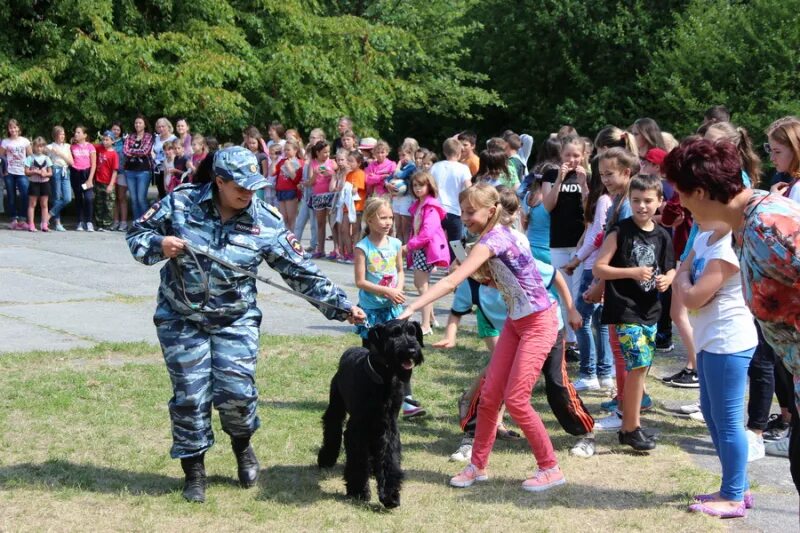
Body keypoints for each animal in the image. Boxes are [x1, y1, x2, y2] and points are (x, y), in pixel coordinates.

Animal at [316, 318, 424, 510]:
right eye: (394, 334)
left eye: (412, 332)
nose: (411, 350)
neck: (383, 377)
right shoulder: (357, 428)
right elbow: (358, 458)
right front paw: (359, 491)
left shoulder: (388, 426)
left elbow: (389, 457)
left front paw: (390, 495)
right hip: (337, 405)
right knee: (332, 425)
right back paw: (327, 458)